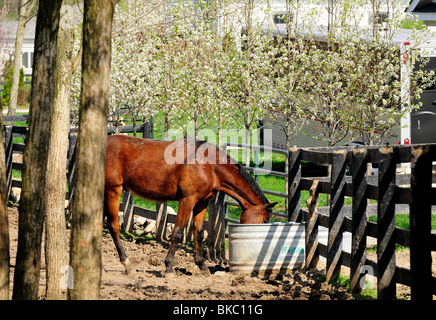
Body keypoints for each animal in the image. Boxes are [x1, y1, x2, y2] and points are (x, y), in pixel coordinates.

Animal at [104, 134, 276, 276]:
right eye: (264, 220)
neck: (209, 166)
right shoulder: (187, 200)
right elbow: (178, 233)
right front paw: (168, 267)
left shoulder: (201, 202)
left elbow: (198, 233)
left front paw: (202, 266)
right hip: (113, 191)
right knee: (113, 226)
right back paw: (127, 264)